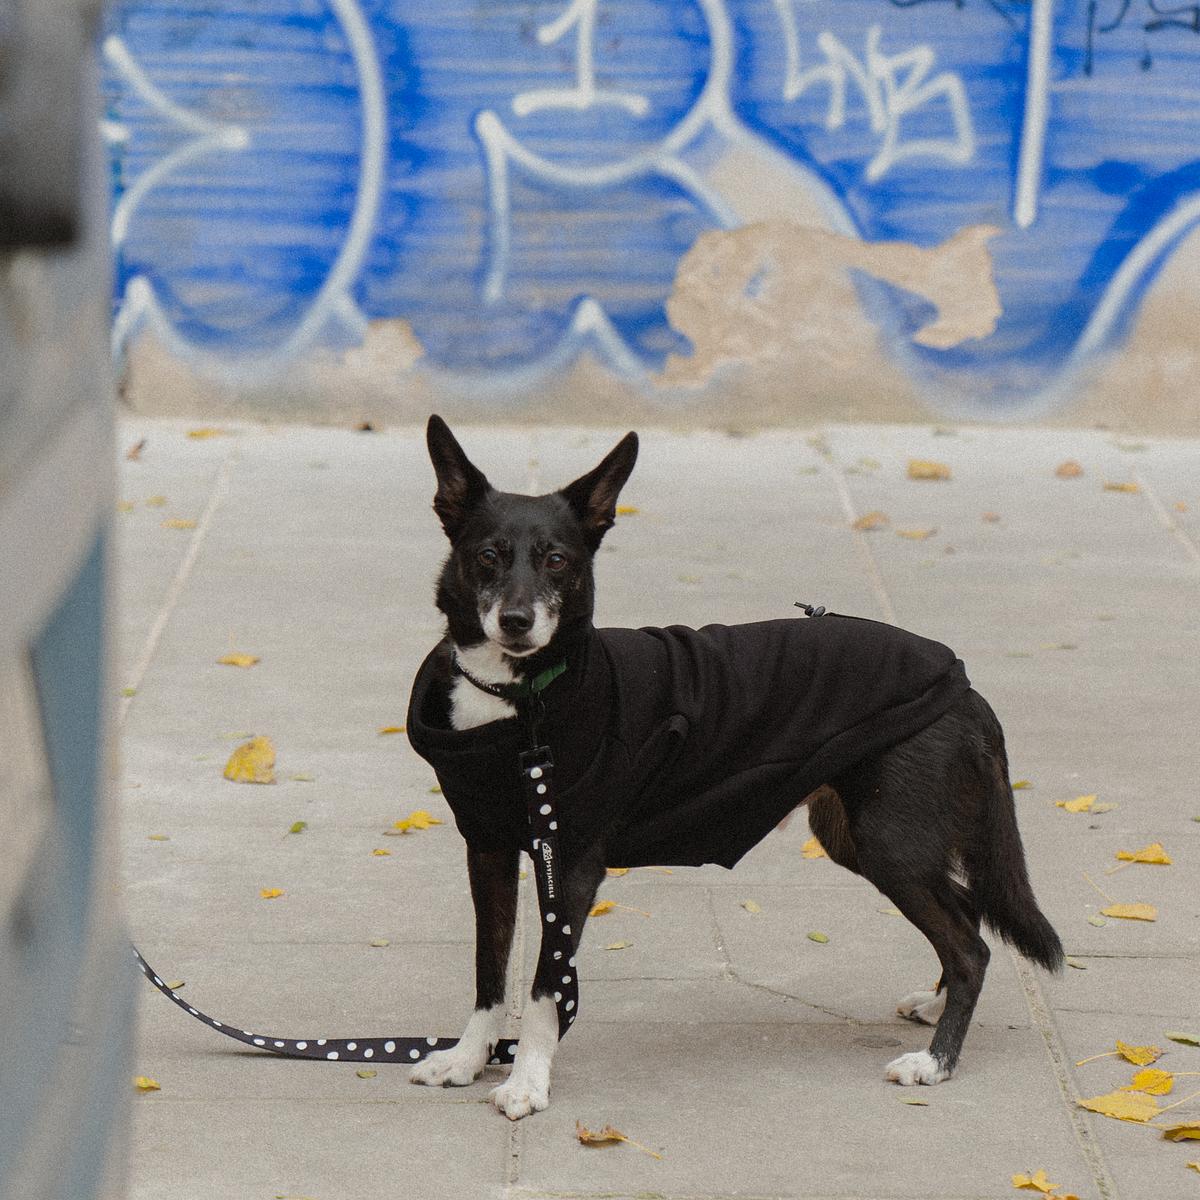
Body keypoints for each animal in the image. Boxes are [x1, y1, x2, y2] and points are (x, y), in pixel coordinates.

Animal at [408, 417, 1065, 1118]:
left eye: (557, 559)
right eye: (488, 555)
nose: (516, 620)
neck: (522, 698)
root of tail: (967, 691)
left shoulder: (574, 865)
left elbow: (541, 991)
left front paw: (528, 1079)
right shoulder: (488, 850)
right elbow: (490, 969)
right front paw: (469, 1058)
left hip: (893, 843)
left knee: (971, 946)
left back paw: (937, 1062)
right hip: (858, 837)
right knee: (967, 917)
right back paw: (936, 1007)